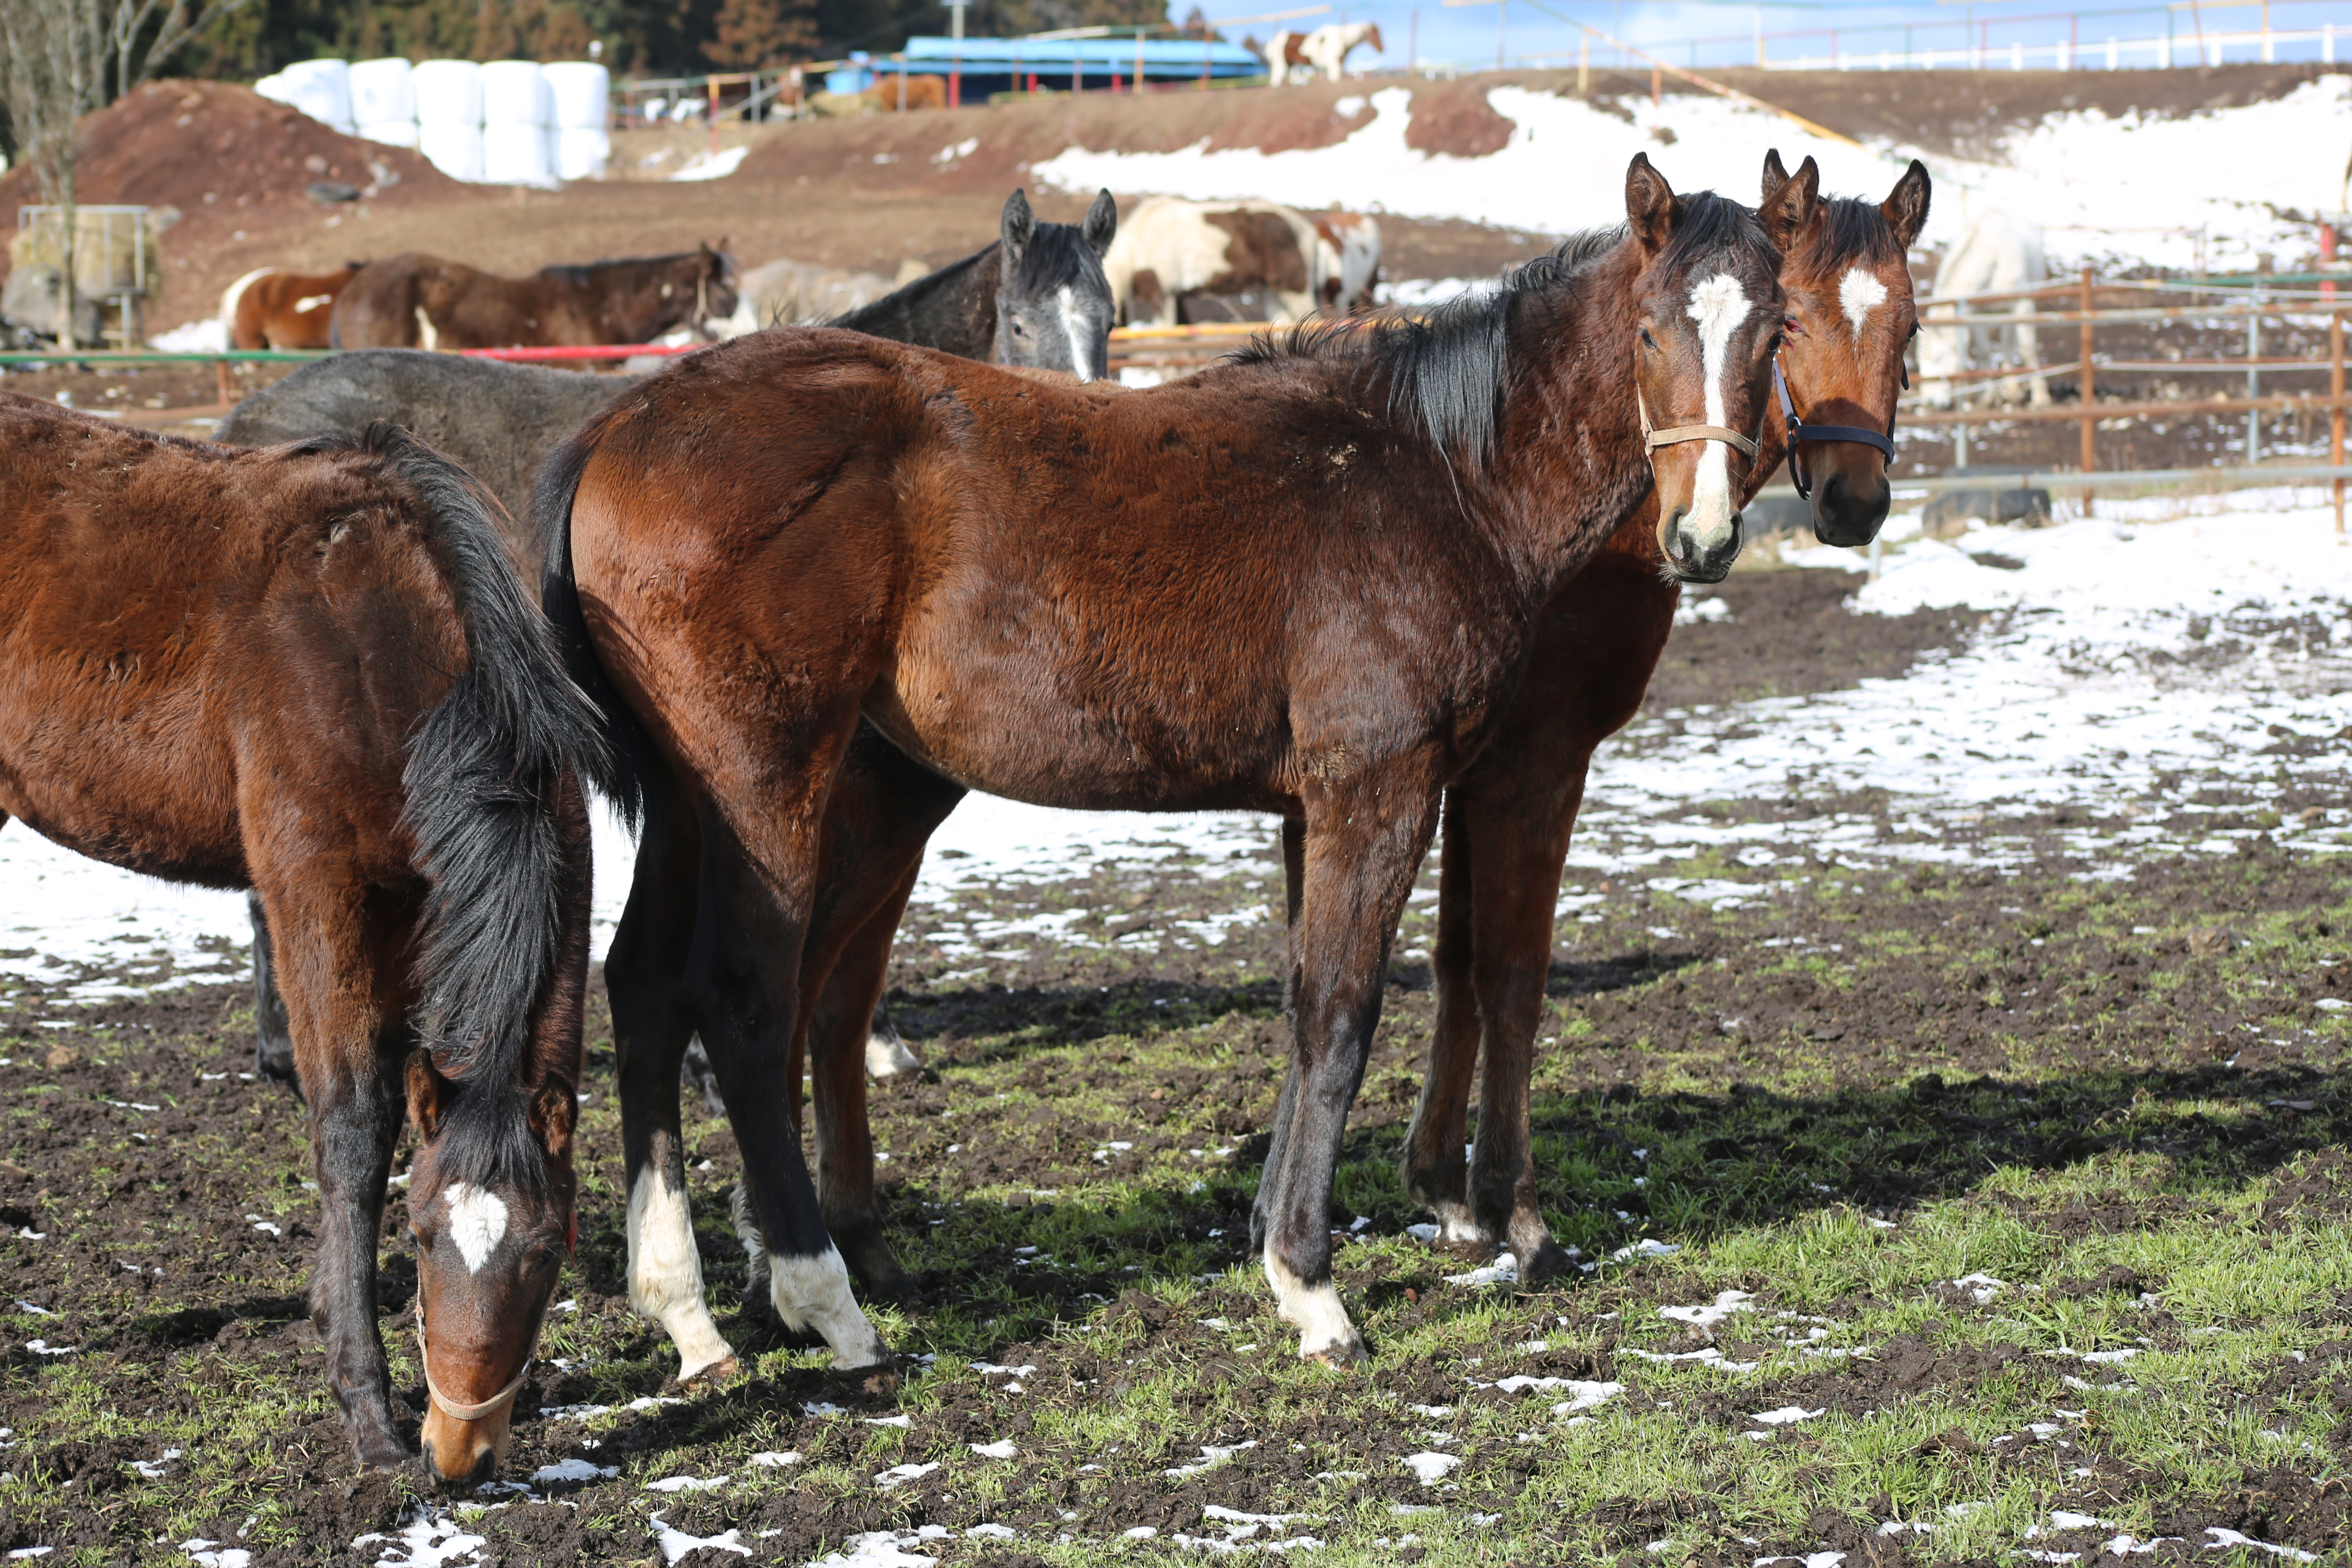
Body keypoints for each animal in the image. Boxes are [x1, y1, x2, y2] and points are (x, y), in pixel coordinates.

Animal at [0, 399, 602, 1495]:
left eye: (548, 1251)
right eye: (421, 1235)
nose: (460, 1454)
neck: (375, 639)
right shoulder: (319, 896)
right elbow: (354, 1132)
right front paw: (366, 1409)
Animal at [534, 153, 1778, 1382]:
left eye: (1771, 332)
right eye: (1653, 331)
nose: (1703, 538)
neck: (1439, 476)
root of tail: (622, 425)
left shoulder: (1313, 805)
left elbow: (1302, 1005)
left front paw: (1276, 1247)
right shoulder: (1379, 788)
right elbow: (1344, 1014)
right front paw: (1312, 1288)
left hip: (698, 802)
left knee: (646, 985)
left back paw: (686, 1311)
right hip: (765, 781)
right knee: (745, 1000)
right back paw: (824, 1299)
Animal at [1919, 213, 2051, 411]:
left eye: (1938, 358)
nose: (1929, 402)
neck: (1993, 259)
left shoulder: (2022, 305)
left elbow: (2028, 350)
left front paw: (2041, 398)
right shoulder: (1975, 315)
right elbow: (1984, 352)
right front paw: (1985, 399)